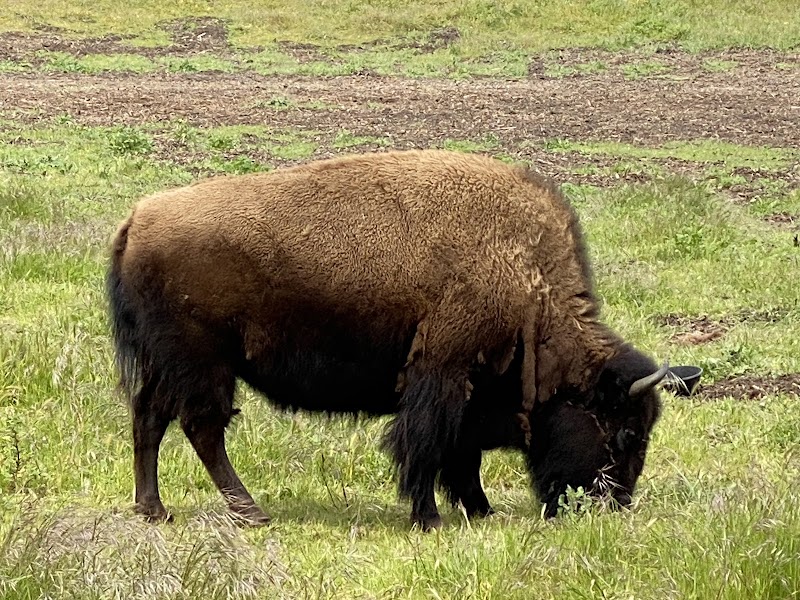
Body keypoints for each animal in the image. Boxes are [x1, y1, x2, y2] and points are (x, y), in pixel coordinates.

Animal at [107, 149, 666, 530]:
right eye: (626, 432)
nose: (613, 505)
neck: (526, 278)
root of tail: (137, 220)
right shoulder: (441, 374)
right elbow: (427, 448)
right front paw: (430, 518)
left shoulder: (466, 392)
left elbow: (461, 456)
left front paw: (479, 511)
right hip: (204, 364)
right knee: (201, 428)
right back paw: (251, 512)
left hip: (167, 365)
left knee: (149, 418)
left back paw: (154, 509)